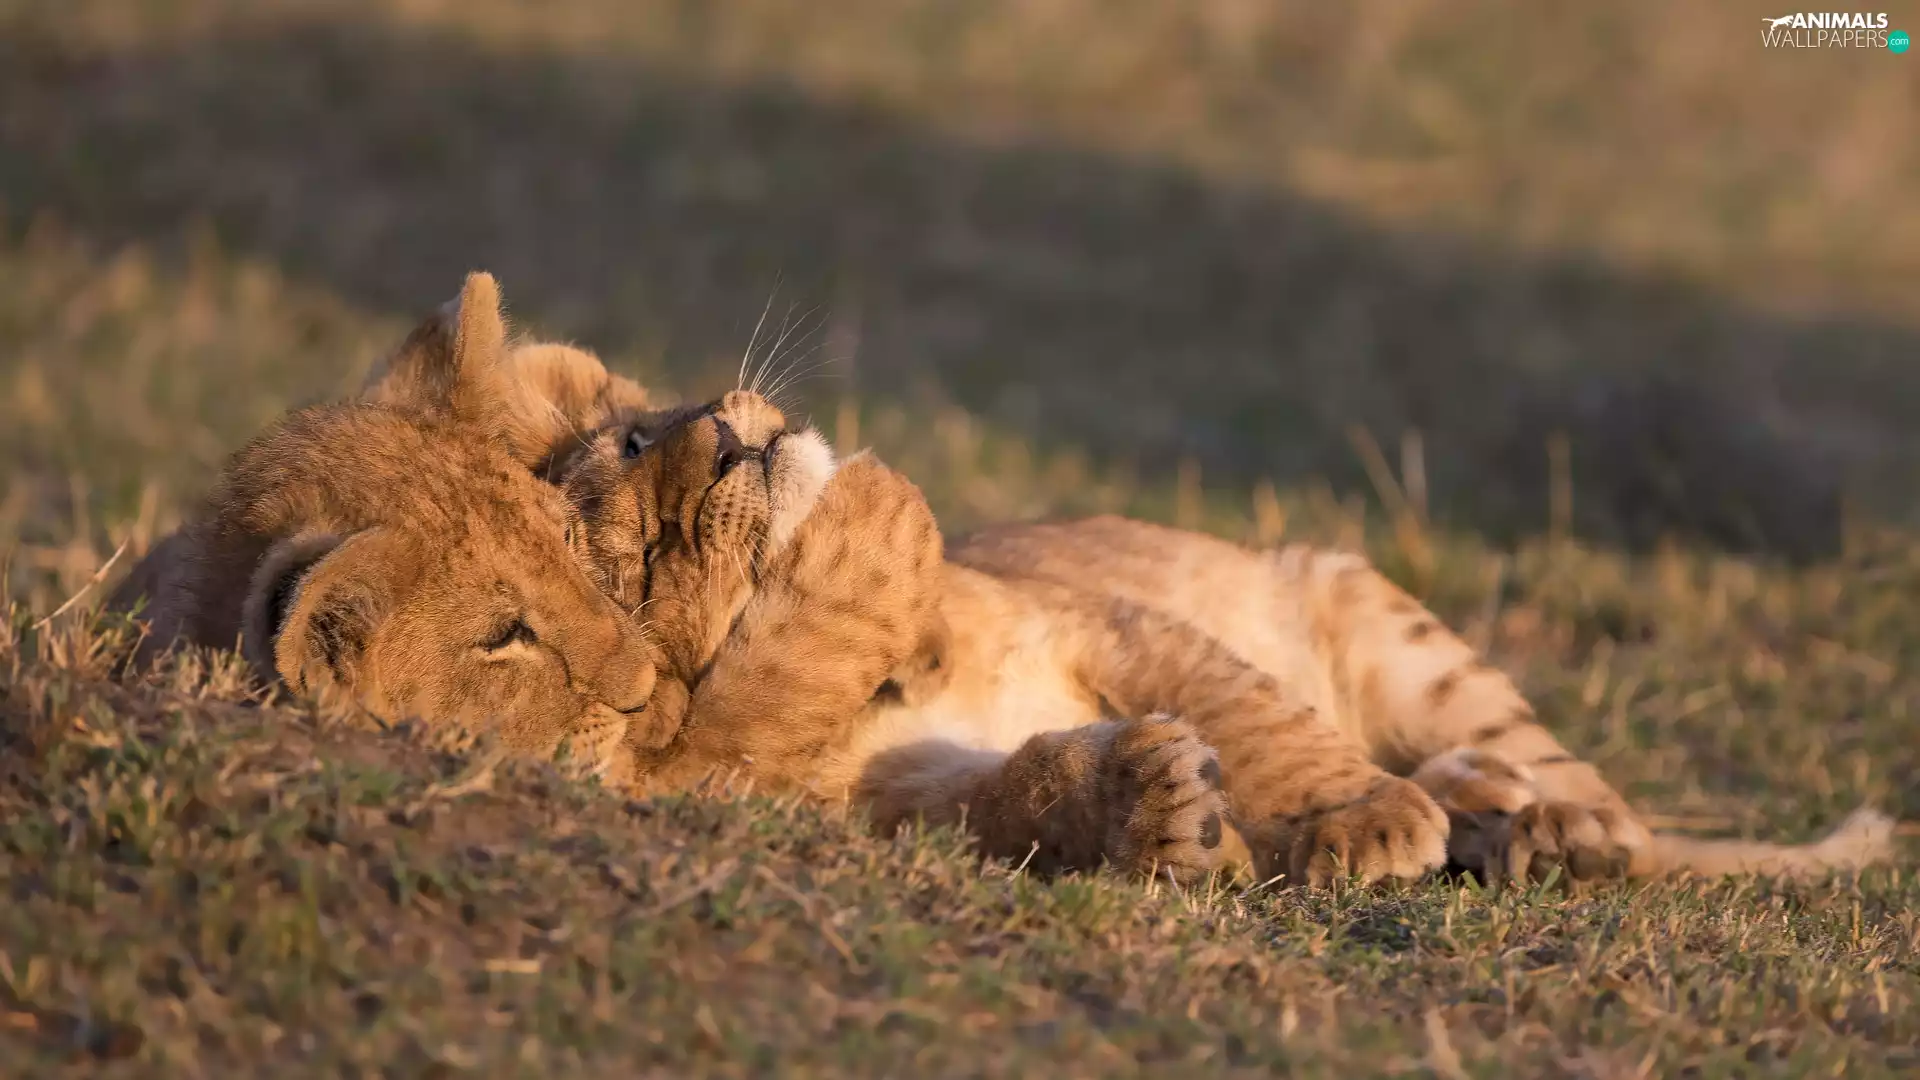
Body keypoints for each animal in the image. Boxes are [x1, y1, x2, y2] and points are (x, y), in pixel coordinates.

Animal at [560, 389, 1895, 887]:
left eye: (651, 421)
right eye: (649, 541)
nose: (729, 426)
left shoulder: (1115, 620)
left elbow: (1259, 718)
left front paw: (1362, 819)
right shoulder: (897, 792)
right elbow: (1024, 787)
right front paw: (1160, 815)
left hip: (1379, 613)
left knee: (1608, 801)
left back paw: (1552, 823)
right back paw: (1486, 808)